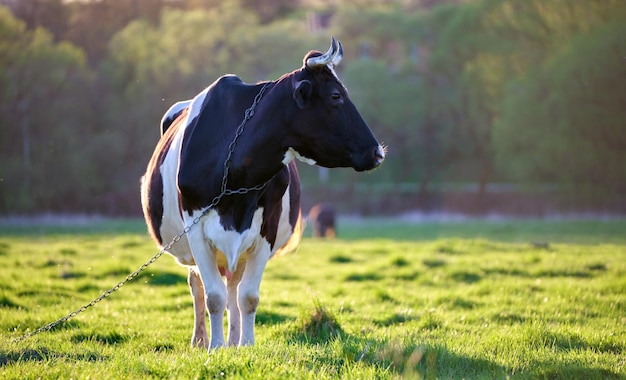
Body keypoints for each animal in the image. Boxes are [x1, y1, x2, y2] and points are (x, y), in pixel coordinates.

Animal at [141, 38, 382, 350]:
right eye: (335, 96)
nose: (377, 152)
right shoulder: (195, 229)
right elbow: (214, 296)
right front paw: (214, 347)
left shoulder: (266, 229)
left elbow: (248, 297)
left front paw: (246, 345)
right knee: (199, 287)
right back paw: (201, 340)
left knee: (233, 286)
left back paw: (233, 340)